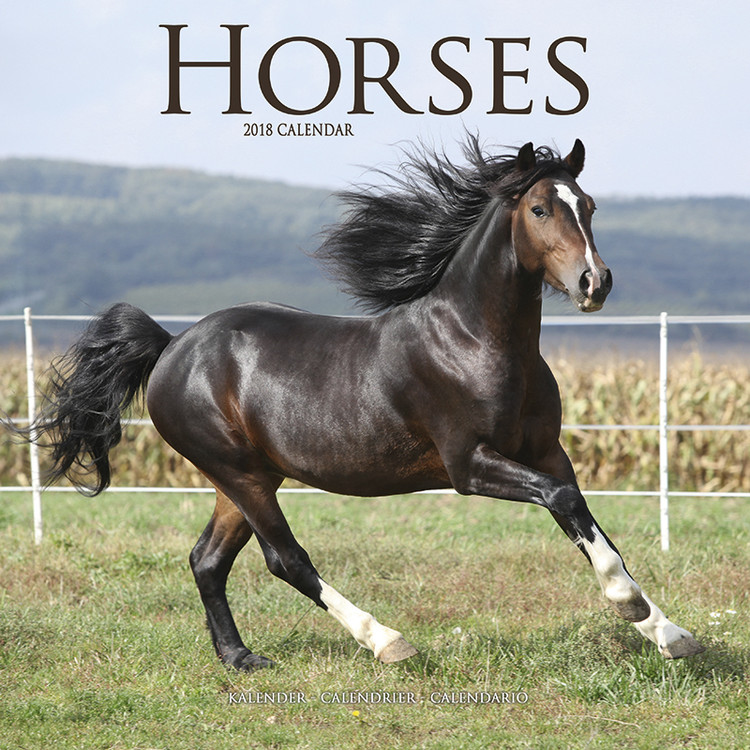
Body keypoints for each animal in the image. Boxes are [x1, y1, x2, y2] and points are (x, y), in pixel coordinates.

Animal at [29, 136, 704, 670]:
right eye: (540, 208)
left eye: (588, 206)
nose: (596, 283)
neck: (473, 341)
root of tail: (171, 345)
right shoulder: (469, 465)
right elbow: (565, 503)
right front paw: (632, 608)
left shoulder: (546, 452)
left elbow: (584, 519)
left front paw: (668, 631)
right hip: (238, 473)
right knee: (285, 559)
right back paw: (387, 641)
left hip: (245, 477)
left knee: (207, 560)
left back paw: (240, 658)